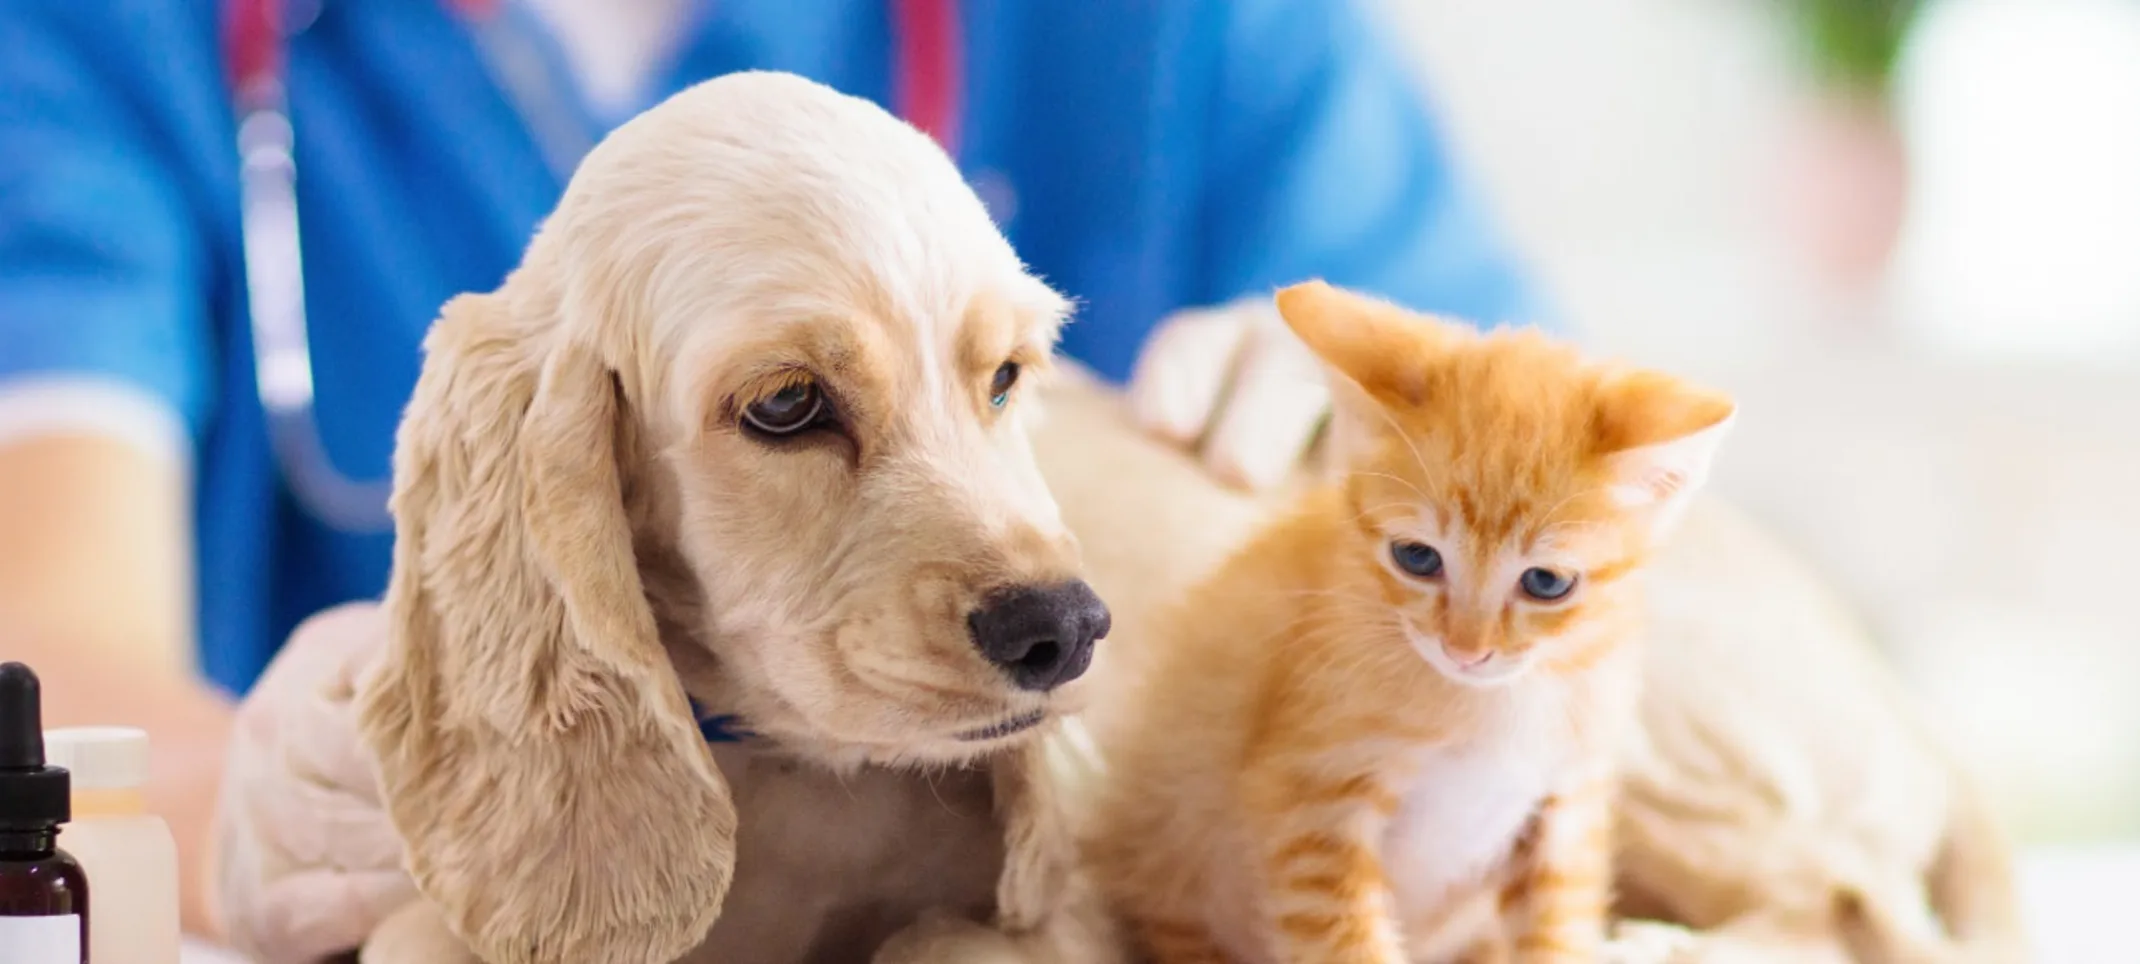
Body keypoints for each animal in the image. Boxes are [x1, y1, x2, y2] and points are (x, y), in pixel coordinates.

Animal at [1087, 280, 1737, 964]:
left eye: (1546, 583)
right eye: (1417, 557)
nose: (1466, 649)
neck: (1495, 705)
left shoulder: (1566, 806)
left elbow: (1557, 929)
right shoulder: (1313, 805)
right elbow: (1347, 945)